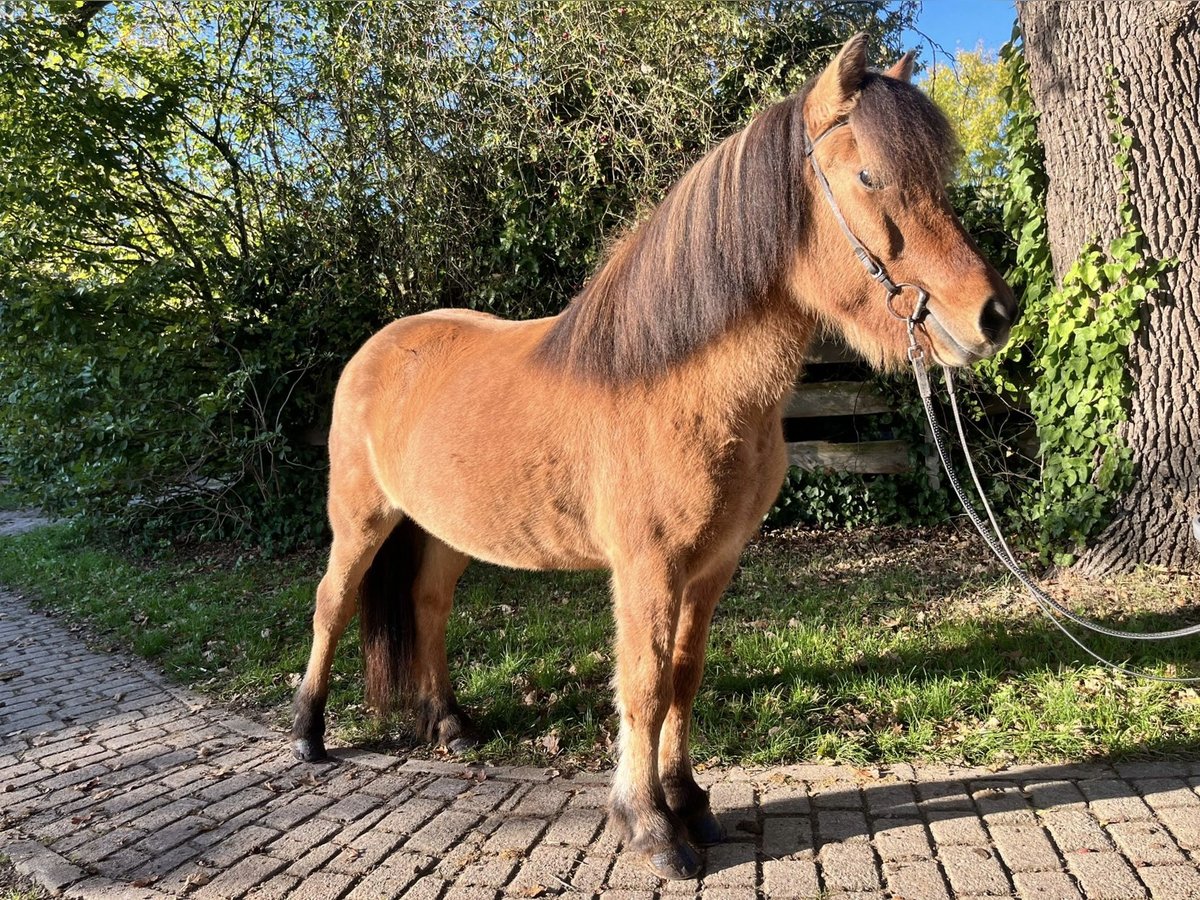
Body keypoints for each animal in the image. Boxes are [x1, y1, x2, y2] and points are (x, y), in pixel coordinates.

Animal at [288, 35, 1012, 883]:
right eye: (869, 176)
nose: (993, 314)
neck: (677, 384)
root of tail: (380, 348)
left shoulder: (713, 564)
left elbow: (684, 678)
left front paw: (689, 800)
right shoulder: (647, 568)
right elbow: (642, 684)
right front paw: (650, 826)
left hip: (440, 530)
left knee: (430, 607)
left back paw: (452, 725)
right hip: (361, 520)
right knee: (332, 603)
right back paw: (308, 731)